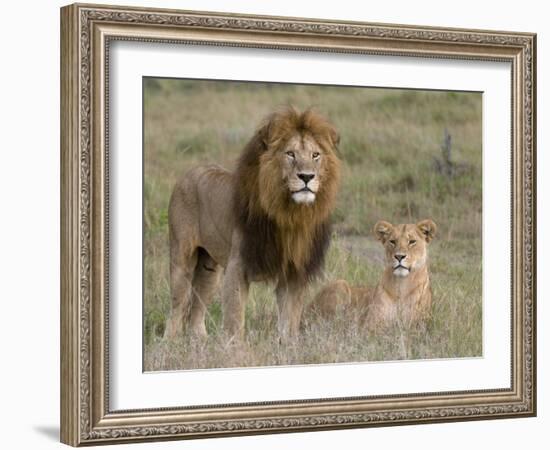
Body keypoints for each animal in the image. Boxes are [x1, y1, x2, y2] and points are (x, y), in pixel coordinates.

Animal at [166, 108, 342, 342]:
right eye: (290, 154)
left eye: (315, 155)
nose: (306, 176)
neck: (290, 214)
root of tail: (189, 172)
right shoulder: (238, 267)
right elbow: (235, 320)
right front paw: (235, 349)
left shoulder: (293, 273)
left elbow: (289, 321)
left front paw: (288, 346)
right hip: (181, 260)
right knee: (177, 308)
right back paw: (169, 344)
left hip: (209, 268)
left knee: (197, 308)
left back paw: (200, 342)